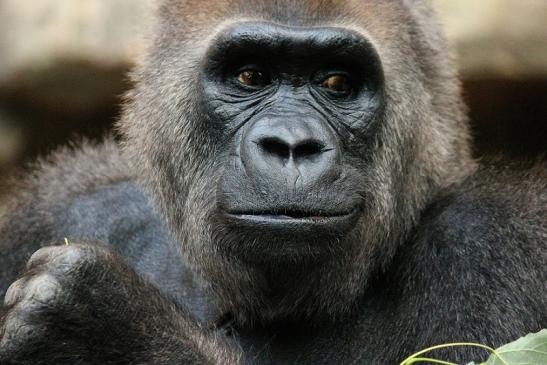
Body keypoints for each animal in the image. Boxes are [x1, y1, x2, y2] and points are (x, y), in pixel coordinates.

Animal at [1, 0, 547, 362]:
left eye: (337, 83)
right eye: (250, 76)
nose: (290, 144)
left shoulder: (497, 241)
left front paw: (107, 329)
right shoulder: (63, 200)